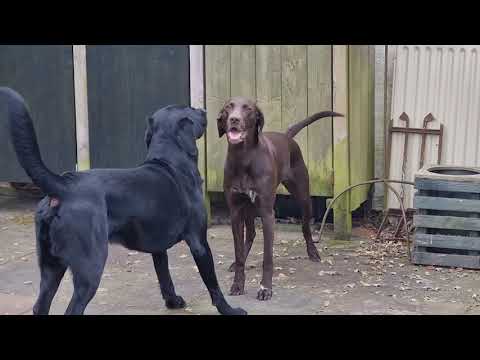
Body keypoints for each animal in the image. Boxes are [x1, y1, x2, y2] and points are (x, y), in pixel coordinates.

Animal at [0, 88, 246, 316]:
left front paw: (173, 302)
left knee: (40, 305)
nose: (205, 110)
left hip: (51, 267)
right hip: (90, 268)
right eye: (190, 109)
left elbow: (164, 276)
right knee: (73, 309)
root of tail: (63, 184)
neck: (170, 161)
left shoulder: (158, 247)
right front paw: (229, 309)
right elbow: (213, 285)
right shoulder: (199, 241)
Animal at [218, 96, 344, 300]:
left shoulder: (268, 214)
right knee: (251, 234)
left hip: (303, 198)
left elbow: (267, 258)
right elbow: (238, 254)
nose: (234, 119)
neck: (244, 157)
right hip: (248, 208)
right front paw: (237, 283)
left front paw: (265, 288)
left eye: (248, 108)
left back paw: (313, 253)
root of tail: (287, 136)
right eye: (228, 107)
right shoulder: (235, 212)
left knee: (305, 228)